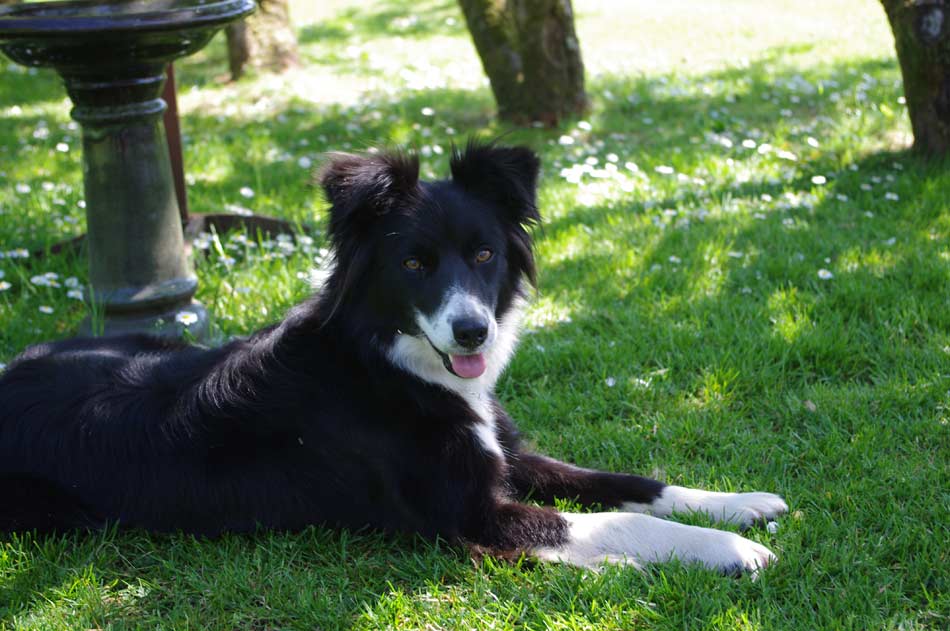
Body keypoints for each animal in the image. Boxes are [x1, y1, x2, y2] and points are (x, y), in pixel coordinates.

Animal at [0, 141, 788, 576]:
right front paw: (728, 549)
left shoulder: (507, 453)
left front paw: (737, 503)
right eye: (413, 263)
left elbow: (626, 482)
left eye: (484, 254)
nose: (472, 334)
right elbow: (615, 520)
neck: (392, 366)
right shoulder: (473, 511)